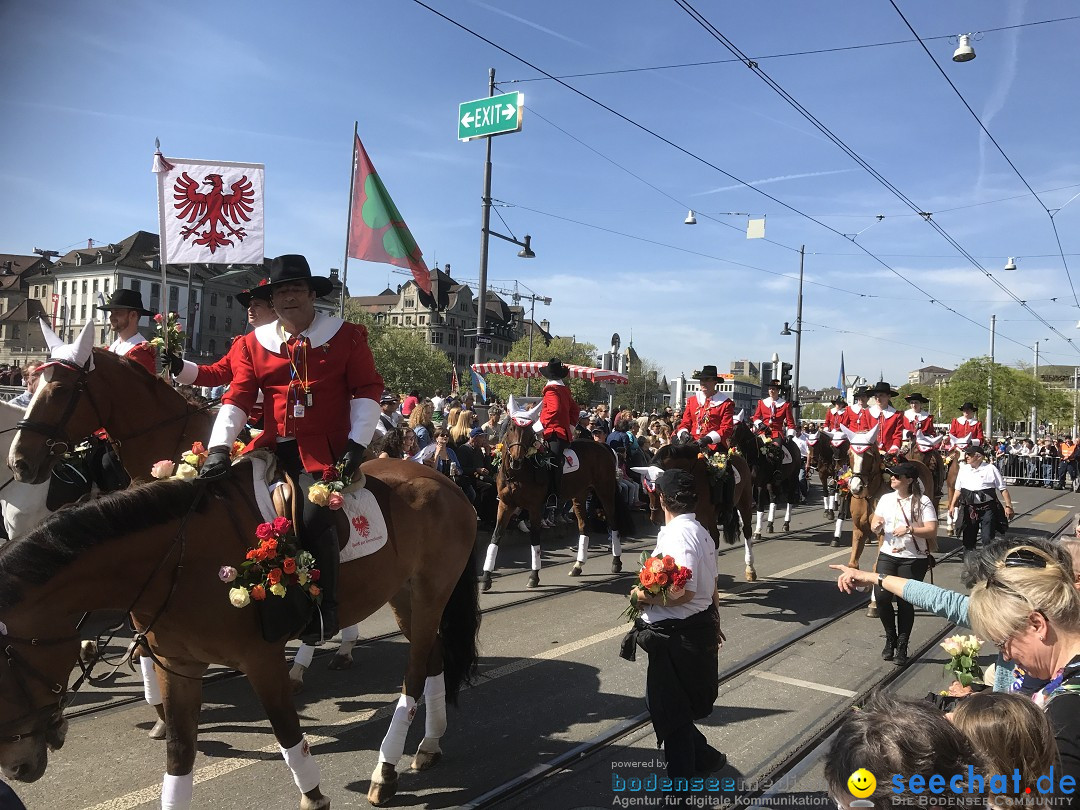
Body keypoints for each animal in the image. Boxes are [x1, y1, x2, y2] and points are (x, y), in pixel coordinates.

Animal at [3, 352, 477, 807]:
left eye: (60, 390)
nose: (20, 462)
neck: (181, 552)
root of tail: (444, 480)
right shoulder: (179, 664)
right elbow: (179, 756)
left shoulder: (262, 660)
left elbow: (289, 738)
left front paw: (313, 790)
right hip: (403, 595)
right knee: (433, 657)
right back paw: (429, 743)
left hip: (431, 593)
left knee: (414, 674)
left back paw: (385, 767)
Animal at [481, 421, 630, 591]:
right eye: (511, 429)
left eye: (529, 431)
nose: (517, 460)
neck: (517, 474)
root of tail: (602, 446)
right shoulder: (505, 505)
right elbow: (496, 536)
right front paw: (486, 578)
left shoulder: (534, 507)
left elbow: (534, 538)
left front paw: (534, 576)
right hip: (579, 495)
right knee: (584, 526)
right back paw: (578, 565)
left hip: (605, 491)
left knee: (613, 522)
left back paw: (616, 562)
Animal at [643, 444, 756, 583]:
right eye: (646, 490)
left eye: (659, 490)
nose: (655, 519)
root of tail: (737, 455)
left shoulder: (708, 517)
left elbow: (714, 539)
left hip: (744, 502)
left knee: (747, 531)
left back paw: (750, 568)